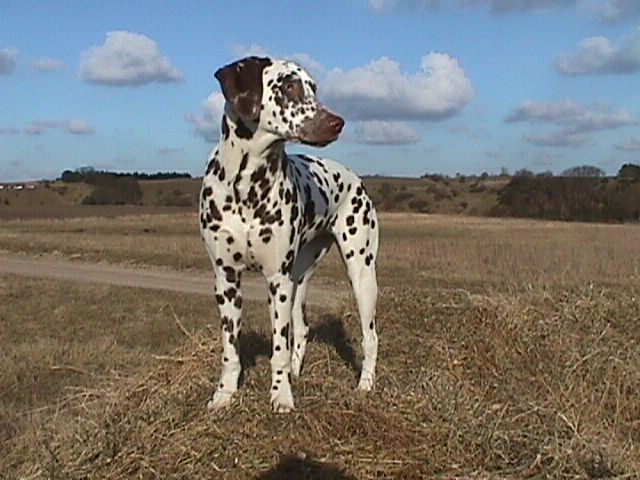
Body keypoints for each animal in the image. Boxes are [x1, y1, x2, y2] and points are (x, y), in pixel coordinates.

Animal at [200, 56, 378, 412]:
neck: (246, 184)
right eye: (289, 86)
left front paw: (281, 395)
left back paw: (365, 385)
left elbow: (278, 349)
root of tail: (354, 177)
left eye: (314, 88)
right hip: (299, 279)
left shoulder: (276, 280)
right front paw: (224, 395)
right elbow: (231, 351)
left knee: (371, 336)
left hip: (361, 274)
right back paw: (298, 371)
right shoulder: (226, 281)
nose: (337, 122)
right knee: (303, 328)